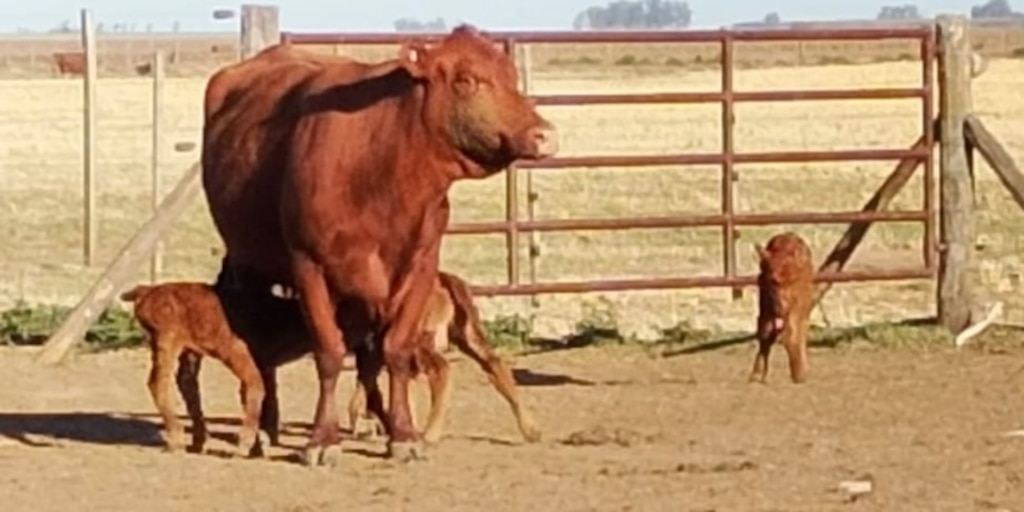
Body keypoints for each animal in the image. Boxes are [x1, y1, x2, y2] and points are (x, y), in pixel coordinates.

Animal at [201, 25, 557, 464]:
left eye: (511, 77)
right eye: (466, 80)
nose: (544, 136)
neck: (382, 173)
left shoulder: (419, 269)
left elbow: (395, 350)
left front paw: (402, 434)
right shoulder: (309, 268)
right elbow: (330, 352)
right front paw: (322, 439)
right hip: (252, 266)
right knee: (264, 355)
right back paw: (266, 427)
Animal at [749, 232, 815, 384]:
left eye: (793, 280)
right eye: (773, 281)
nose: (781, 307)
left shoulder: (797, 305)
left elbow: (792, 333)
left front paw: (799, 373)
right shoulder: (766, 306)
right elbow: (765, 333)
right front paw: (757, 374)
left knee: (801, 329)